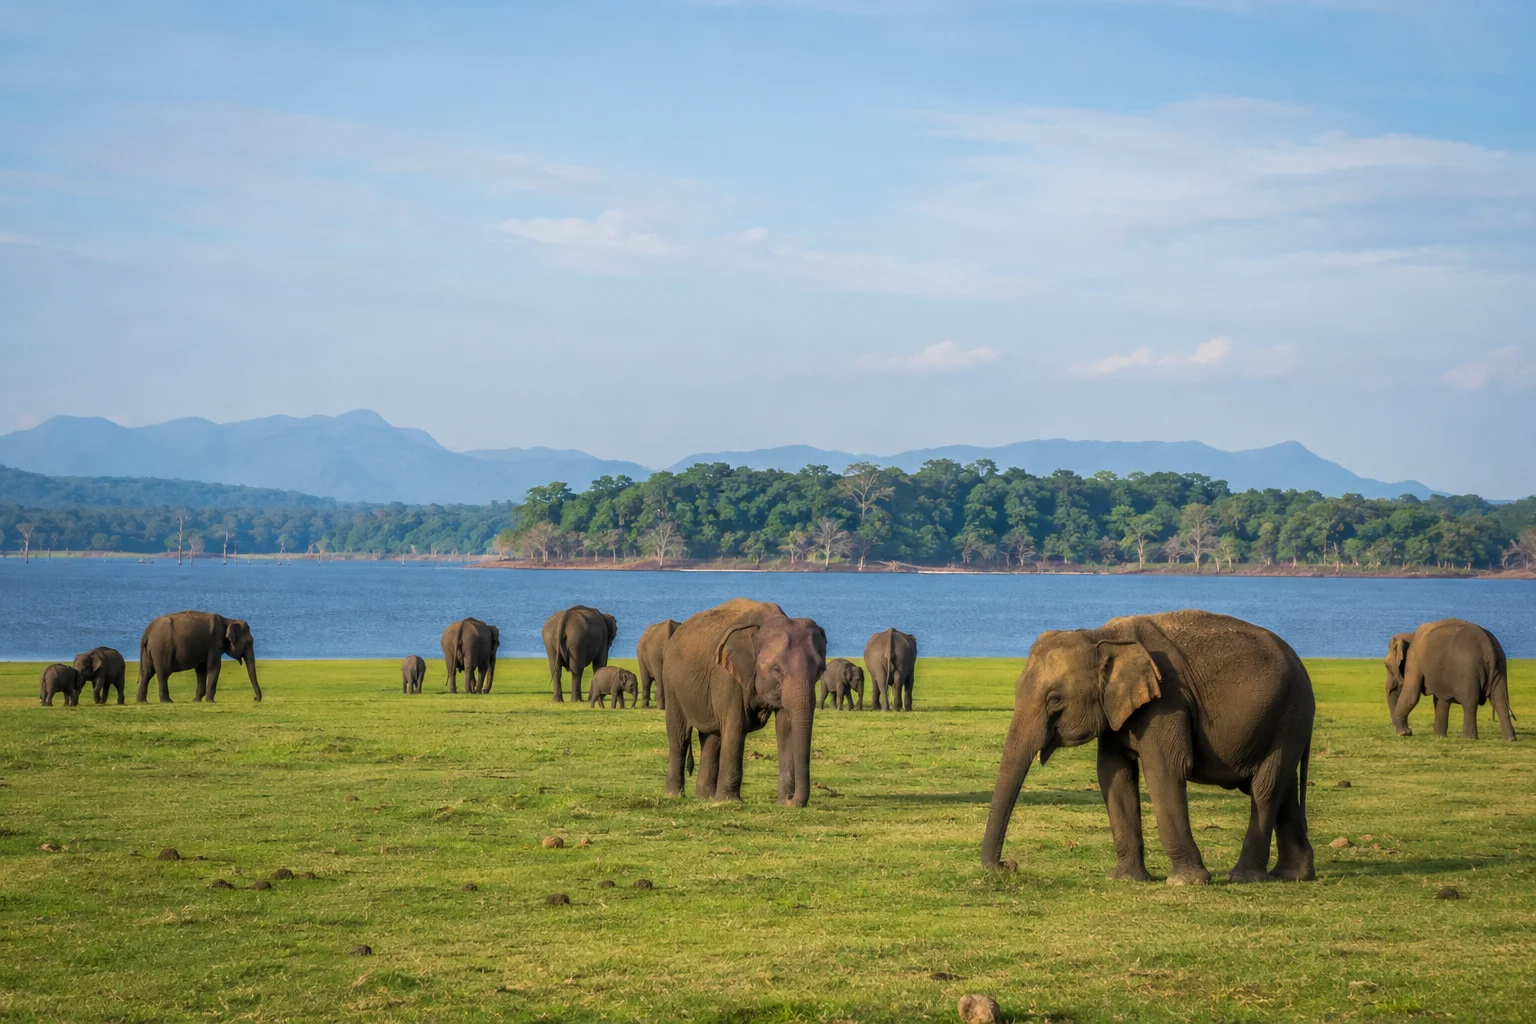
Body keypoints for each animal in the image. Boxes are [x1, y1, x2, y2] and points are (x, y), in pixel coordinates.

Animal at [662, 598, 826, 806]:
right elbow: (735, 726)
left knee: (712, 738)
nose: (792, 799)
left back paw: (706, 797)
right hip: (671, 682)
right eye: (776, 669)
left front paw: (782, 803)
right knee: (680, 736)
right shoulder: (726, 675)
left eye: (820, 670)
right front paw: (729, 802)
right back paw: (674, 795)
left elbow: (786, 728)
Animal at [982, 610, 1316, 885]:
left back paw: (1243, 877)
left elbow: (1165, 769)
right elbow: (1113, 773)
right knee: (1283, 789)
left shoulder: (1167, 701)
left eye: (1054, 699)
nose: (1008, 865)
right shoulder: (1117, 710)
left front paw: (1185, 882)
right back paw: (1294, 875)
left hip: (1289, 715)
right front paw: (1125, 879)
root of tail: (1302, 666)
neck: (1101, 636)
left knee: (1265, 787)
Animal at [1387, 620, 1515, 741]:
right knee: (1500, 700)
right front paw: (1439, 736)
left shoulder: (1414, 660)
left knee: (1470, 703)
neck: (1410, 634)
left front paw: (1403, 734)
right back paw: (1510, 739)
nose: (1408, 731)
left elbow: (1411, 695)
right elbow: (1441, 700)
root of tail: (1488, 646)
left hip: (1467, 671)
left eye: (1387, 665)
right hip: (1500, 666)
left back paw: (1469, 738)